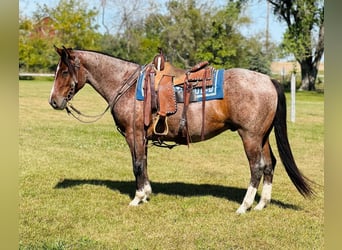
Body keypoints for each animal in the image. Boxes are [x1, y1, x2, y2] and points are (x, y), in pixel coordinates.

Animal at [49, 46, 314, 213]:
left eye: (64, 71)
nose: (54, 102)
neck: (127, 85)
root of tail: (269, 80)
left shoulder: (134, 134)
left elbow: (137, 165)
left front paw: (137, 198)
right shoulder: (142, 138)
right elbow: (144, 164)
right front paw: (147, 194)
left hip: (249, 136)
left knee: (257, 168)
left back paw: (244, 206)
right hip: (262, 136)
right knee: (269, 165)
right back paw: (261, 204)